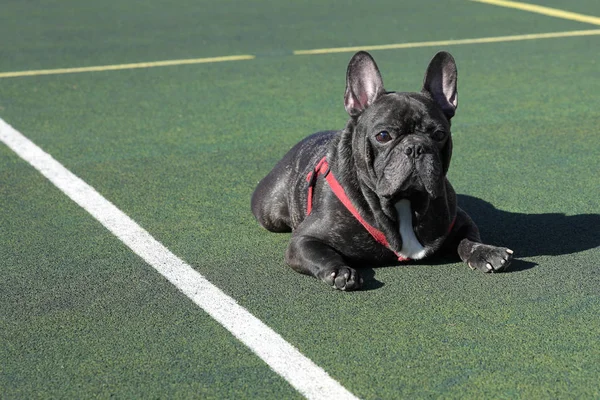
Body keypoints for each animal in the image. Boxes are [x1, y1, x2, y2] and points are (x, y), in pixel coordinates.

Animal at [251, 50, 512, 290]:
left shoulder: (458, 219)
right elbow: (322, 253)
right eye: (383, 136)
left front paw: (486, 251)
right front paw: (340, 271)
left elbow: (468, 238)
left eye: (439, 134)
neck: (405, 202)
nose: (415, 147)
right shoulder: (304, 240)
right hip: (270, 212)